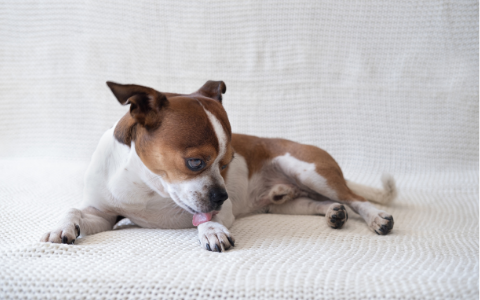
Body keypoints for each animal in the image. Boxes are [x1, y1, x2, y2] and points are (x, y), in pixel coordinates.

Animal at [41, 81, 396, 252]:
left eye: (227, 164)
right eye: (195, 162)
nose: (223, 196)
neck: (148, 187)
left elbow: (206, 220)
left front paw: (211, 231)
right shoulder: (104, 215)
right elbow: (75, 210)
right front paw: (62, 227)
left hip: (309, 171)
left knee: (356, 199)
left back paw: (376, 218)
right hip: (286, 204)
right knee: (317, 203)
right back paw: (333, 213)